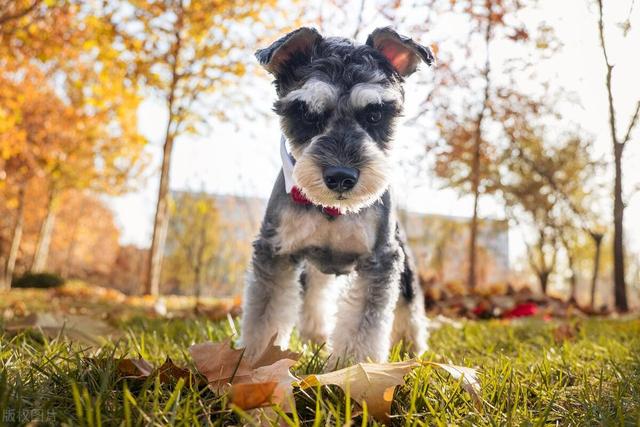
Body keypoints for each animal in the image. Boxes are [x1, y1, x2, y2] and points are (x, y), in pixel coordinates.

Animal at [240, 27, 436, 368]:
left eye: (375, 114)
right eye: (307, 114)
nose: (341, 177)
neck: (330, 209)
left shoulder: (380, 259)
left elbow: (362, 324)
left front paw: (351, 370)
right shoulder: (275, 252)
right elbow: (263, 315)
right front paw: (252, 364)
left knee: (409, 302)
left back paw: (410, 347)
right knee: (315, 294)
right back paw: (315, 337)